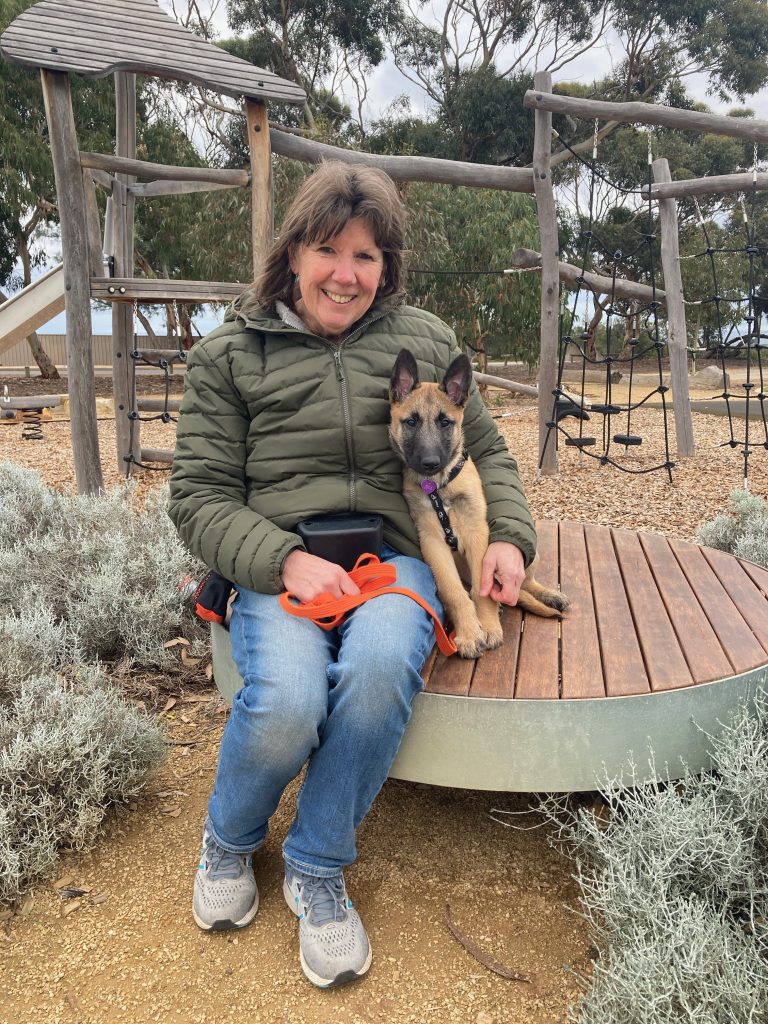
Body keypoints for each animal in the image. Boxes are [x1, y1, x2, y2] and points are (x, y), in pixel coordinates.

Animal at [387, 348, 569, 659]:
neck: (441, 486)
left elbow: (483, 591)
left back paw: (548, 594)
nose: (430, 463)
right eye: (411, 422)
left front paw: (489, 626)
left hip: (528, 555)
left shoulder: (477, 533)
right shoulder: (432, 540)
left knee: (524, 582)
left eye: (445, 422)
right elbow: (454, 591)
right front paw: (470, 632)